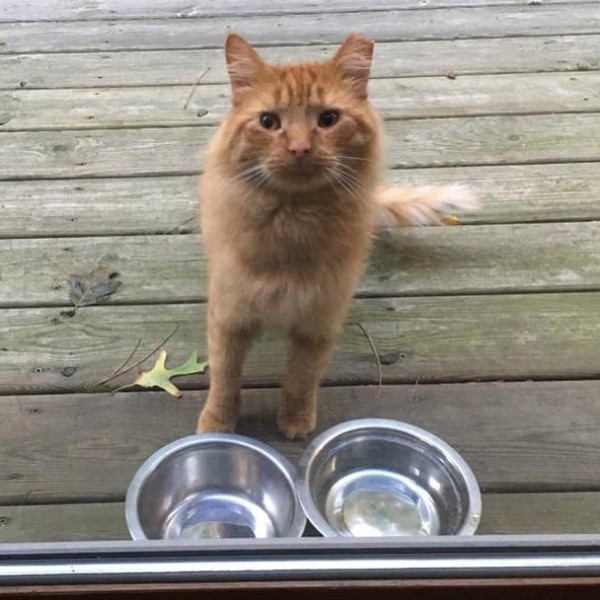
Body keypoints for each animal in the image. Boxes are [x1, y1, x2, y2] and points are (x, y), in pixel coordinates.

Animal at [197, 33, 478, 439]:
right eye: (268, 121)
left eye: (327, 119)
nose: (299, 148)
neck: (295, 220)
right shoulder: (230, 315)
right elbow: (225, 377)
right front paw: (216, 425)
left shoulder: (319, 321)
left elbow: (301, 379)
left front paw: (295, 422)